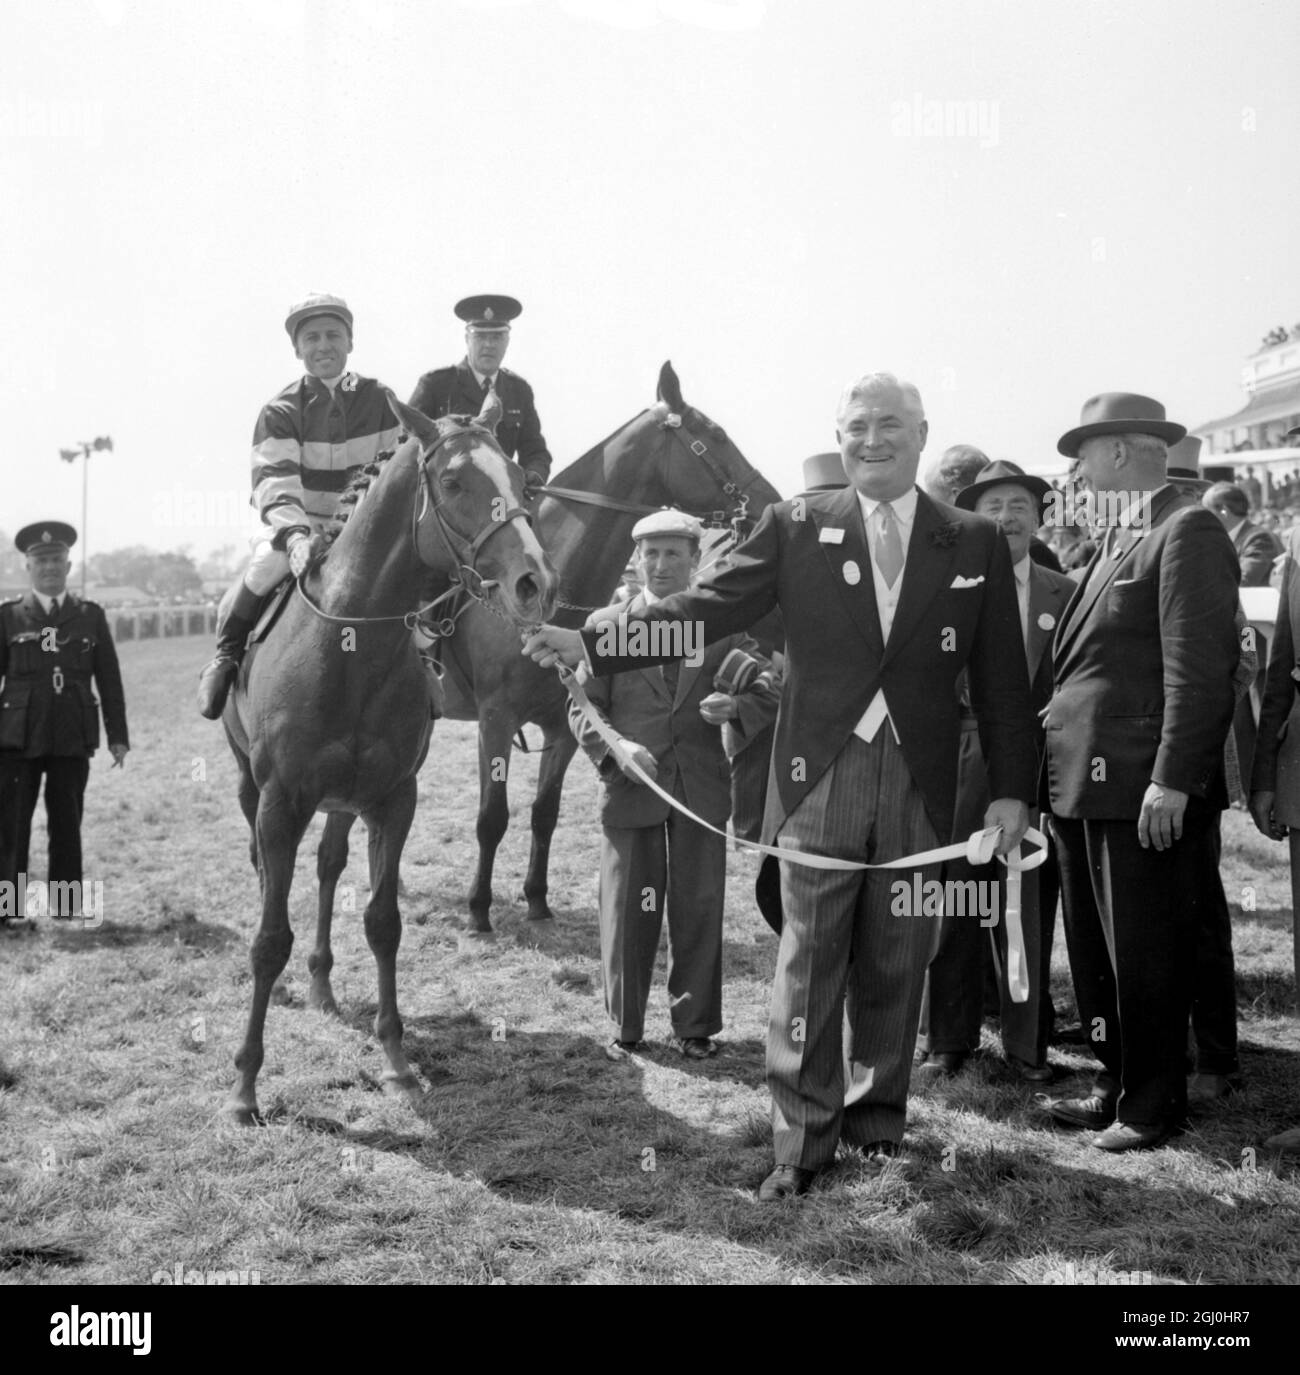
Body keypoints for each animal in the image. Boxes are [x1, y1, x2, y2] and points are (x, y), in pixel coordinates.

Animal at [220, 393, 555, 1122]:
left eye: (522, 480)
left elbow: (383, 922)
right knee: (265, 871)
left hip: (344, 803)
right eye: (453, 482)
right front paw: (245, 1086)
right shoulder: (280, 803)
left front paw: (398, 1062)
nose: (534, 581)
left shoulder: (393, 800)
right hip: (249, 785)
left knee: (327, 867)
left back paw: (322, 984)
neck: (348, 646)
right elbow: (268, 938)